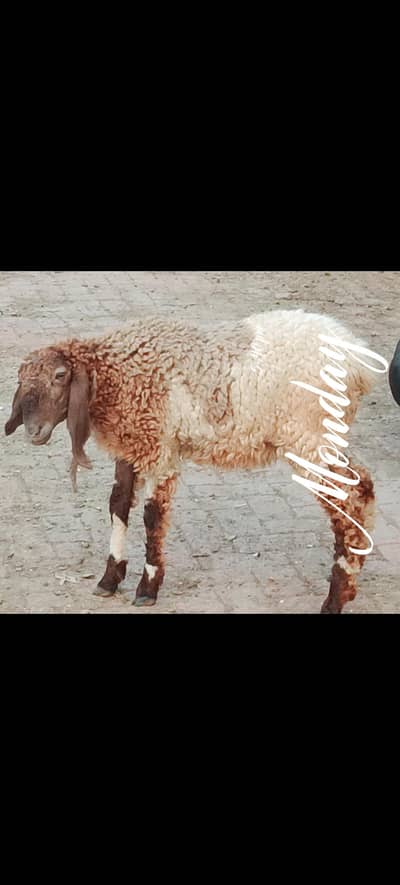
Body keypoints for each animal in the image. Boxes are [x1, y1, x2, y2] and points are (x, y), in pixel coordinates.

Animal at [4, 308, 383, 614]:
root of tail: (357, 363)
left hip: (308, 437)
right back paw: (350, 579)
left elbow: (152, 516)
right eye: (22, 382)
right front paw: (110, 578)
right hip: (323, 437)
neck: (117, 372)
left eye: (60, 377)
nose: (34, 432)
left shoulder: (161, 450)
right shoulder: (132, 445)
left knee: (348, 499)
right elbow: (118, 505)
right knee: (361, 487)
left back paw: (336, 596)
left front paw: (147, 587)